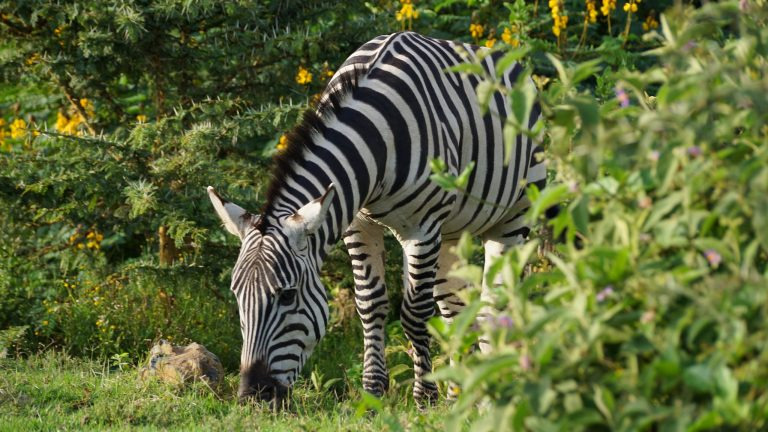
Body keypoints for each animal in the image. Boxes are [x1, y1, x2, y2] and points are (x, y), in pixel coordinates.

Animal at [207, 31, 545, 405]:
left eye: (287, 296)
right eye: (237, 295)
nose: (252, 396)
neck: (377, 136)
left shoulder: (422, 229)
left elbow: (414, 313)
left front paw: (425, 396)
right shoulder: (358, 224)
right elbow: (370, 304)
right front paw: (372, 393)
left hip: (514, 216)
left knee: (493, 303)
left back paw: (494, 389)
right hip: (452, 232)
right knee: (456, 305)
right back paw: (462, 393)